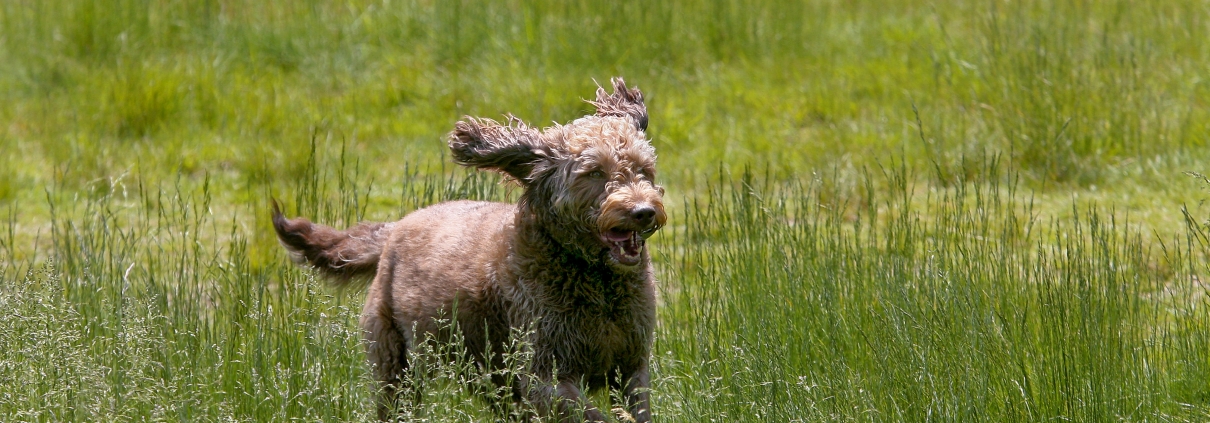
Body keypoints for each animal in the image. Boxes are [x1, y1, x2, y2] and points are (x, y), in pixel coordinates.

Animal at [273, 77, 667, 420]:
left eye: (643, 169)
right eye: (594, 173)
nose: (643, 211)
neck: (596, 281)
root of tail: (394, 228)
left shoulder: (632, 367)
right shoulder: (543, 375)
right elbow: (590, 414)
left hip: (488, 377)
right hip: (396, 367)